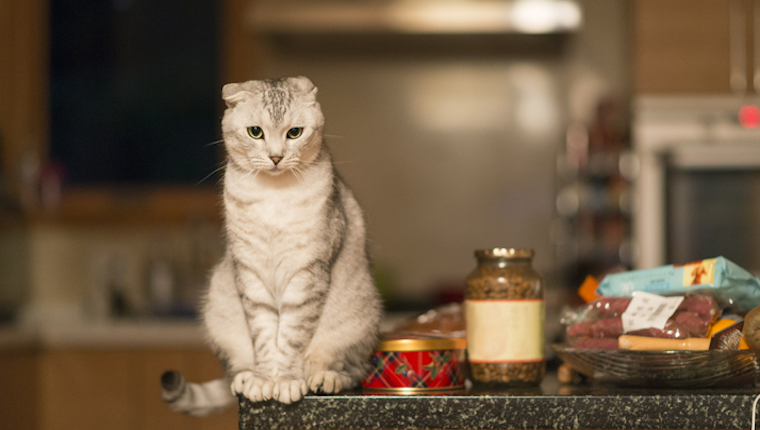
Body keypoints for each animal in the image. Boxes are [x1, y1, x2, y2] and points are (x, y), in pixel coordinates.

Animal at [163, 75, 382, 414]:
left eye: (295, 132)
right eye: (256, 132)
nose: (276, 157)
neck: (274, 195)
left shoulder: (307, 272)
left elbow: (291, 336)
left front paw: (287, 380)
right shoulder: (250, 272)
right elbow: (265, 336)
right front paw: (264, 379)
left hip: (358, 322)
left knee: (352, 369)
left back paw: (324, 378)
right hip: (217, 308)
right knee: (233, 370)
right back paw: (244, 378)